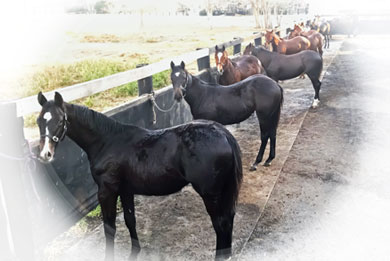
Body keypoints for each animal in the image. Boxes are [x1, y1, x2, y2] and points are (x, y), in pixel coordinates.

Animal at [37, 91, 244, 258]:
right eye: (39, 121)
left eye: (60, 120)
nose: (45, 154)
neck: (107, 142)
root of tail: (222, 133)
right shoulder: (125, 190)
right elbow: (130, 221)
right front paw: (135, 251)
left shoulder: (106, 191)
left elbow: (110, 227)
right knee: (228, 220)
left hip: (211, 194)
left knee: (221, 223)